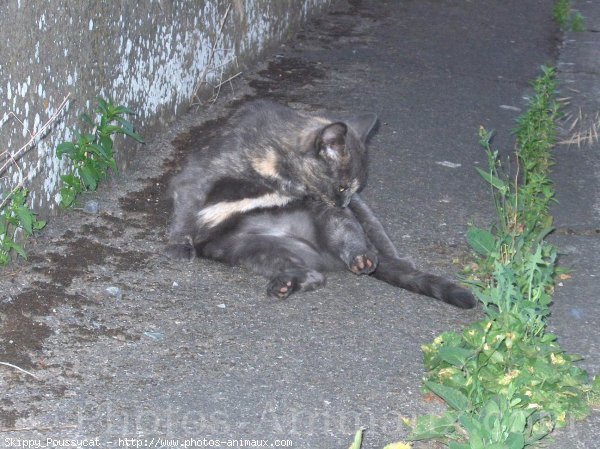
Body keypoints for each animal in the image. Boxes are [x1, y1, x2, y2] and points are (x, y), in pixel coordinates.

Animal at [166, 99, 476, 306]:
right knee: (312, 274)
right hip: (254, 248)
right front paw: (179, 245)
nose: (343, 201)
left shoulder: (335, 202)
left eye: (353, 188)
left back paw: (366, 259)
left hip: (327, 221)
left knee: (354, 239)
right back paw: (284, 285)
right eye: (341, 186)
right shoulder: (198, 174)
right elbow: (187, 208)